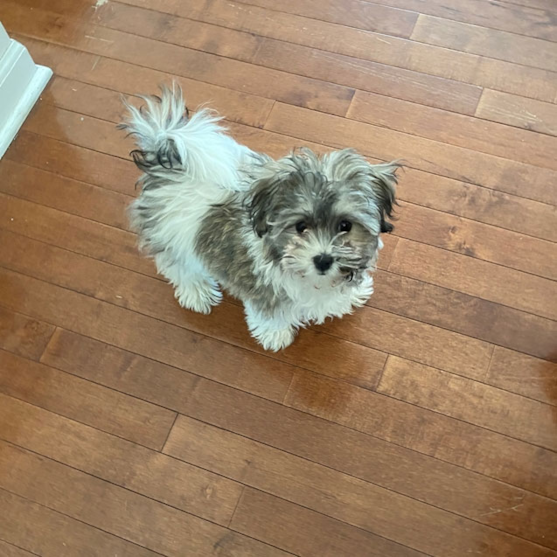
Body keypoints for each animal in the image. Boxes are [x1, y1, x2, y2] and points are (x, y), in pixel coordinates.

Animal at [120, 84, 400, 350]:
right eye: (300, 226)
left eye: (345, 225)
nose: (323, 260)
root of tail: (167, 162)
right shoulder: (263, 288)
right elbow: (270, 314)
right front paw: (275, 335)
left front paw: (352, 295)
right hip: (171, 237)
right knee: (179, 266)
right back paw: (197, 292)